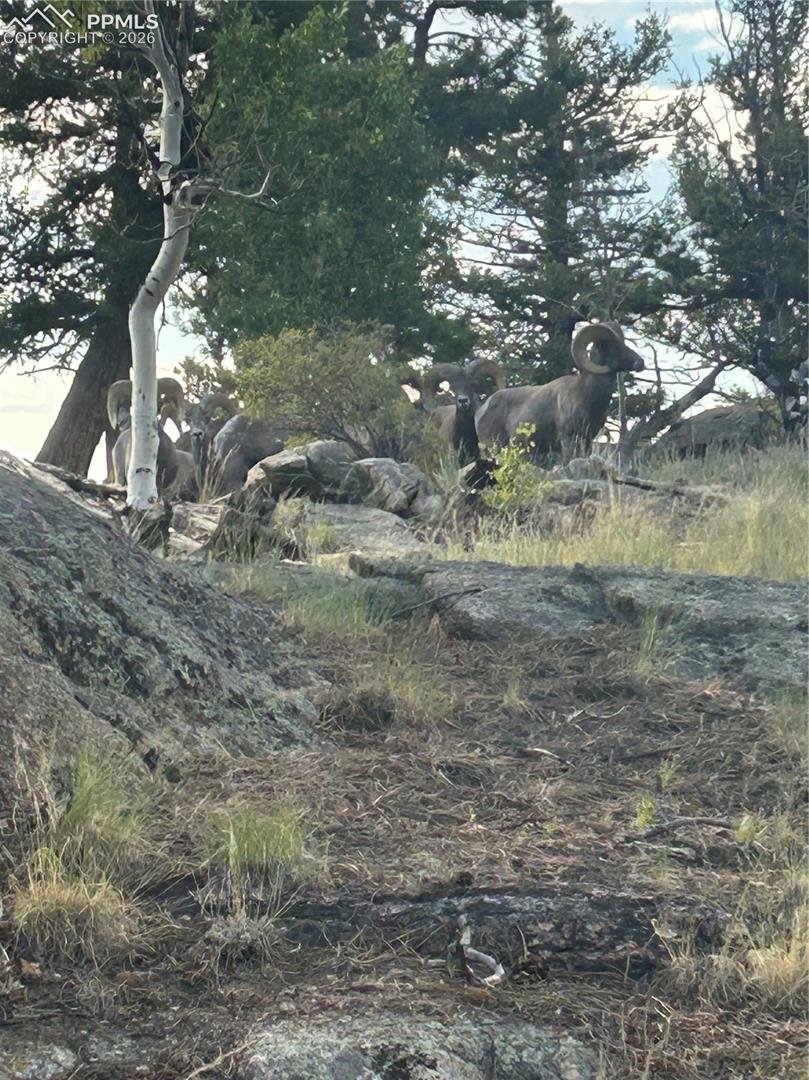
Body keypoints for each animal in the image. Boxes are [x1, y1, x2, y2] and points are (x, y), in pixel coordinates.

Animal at [475, 322, 645, 460]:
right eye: (614, 348)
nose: (640, 362)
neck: (587, 395)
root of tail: (481, 410)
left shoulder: (587, 440)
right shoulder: (568, 438)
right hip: (494, 447)